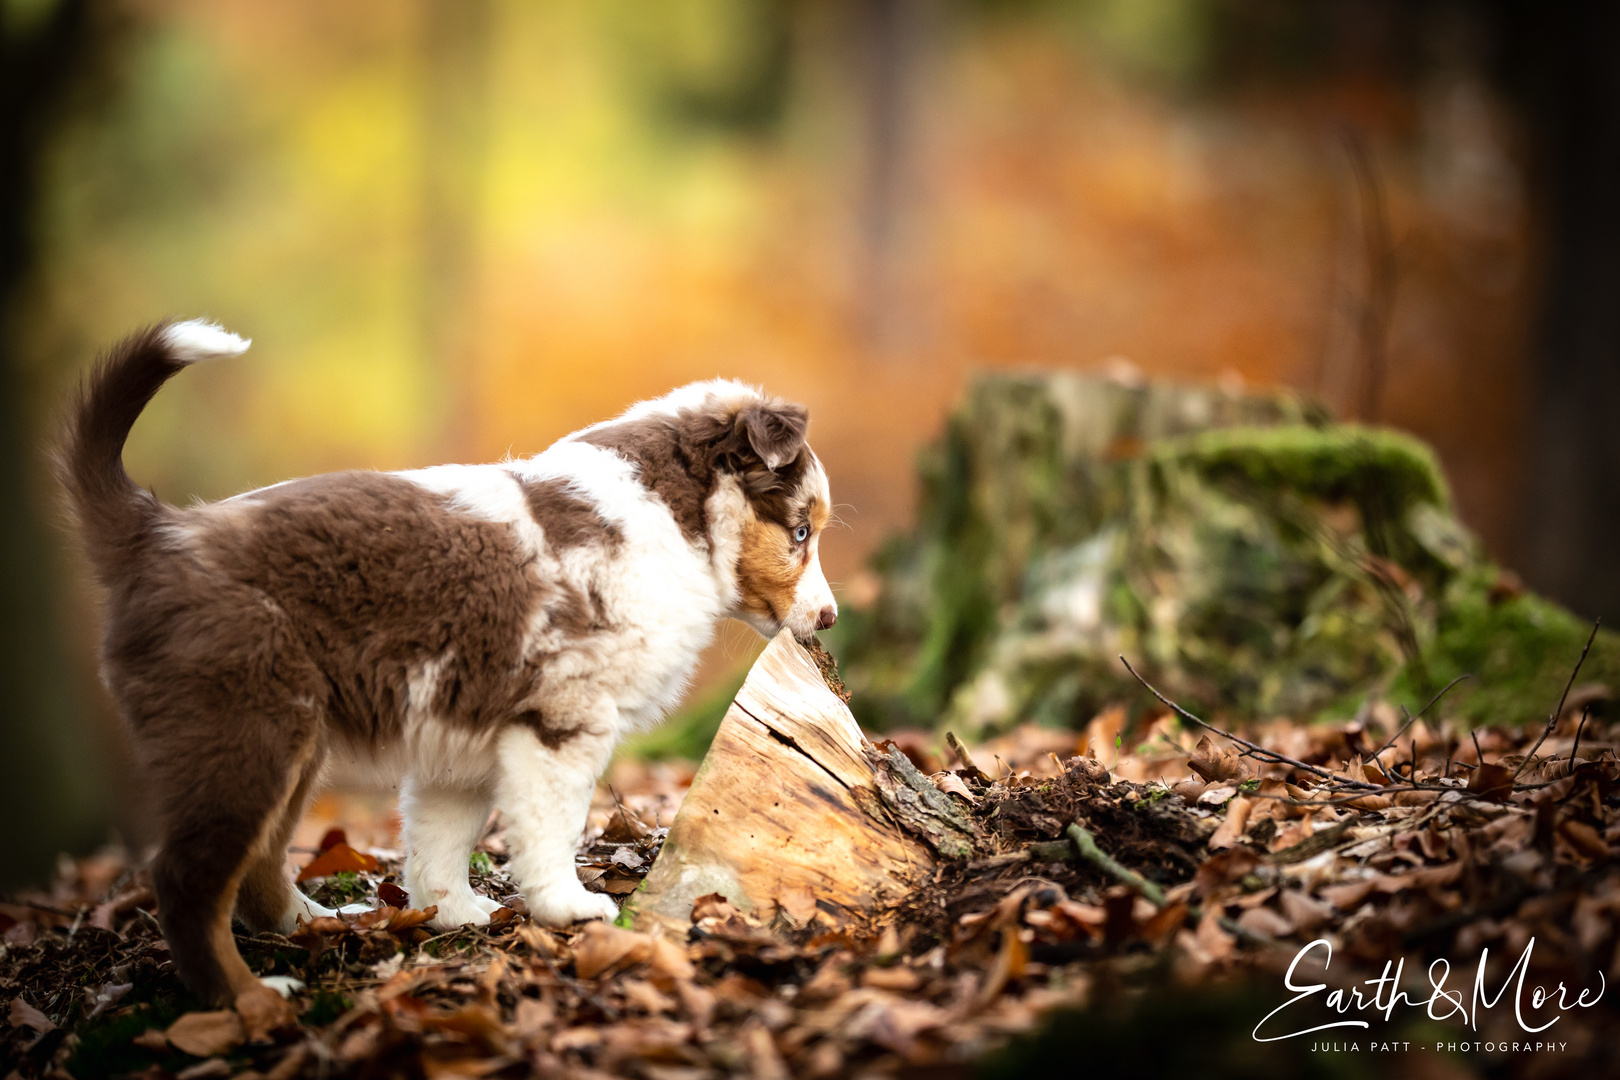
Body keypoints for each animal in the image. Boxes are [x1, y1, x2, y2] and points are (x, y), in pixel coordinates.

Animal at [53, 318, 835, 1003]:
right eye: (801, 531)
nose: (830, 617)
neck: (673, 517)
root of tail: (155, 534)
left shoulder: (464, 727)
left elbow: (442, 837)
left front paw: (453, 912)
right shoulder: (563, 717)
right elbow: (551, 825)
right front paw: (570, 906)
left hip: (291, 742)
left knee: (259, 864)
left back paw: (314, 926)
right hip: (242, 731)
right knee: (187, 879)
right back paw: (248, 1000)